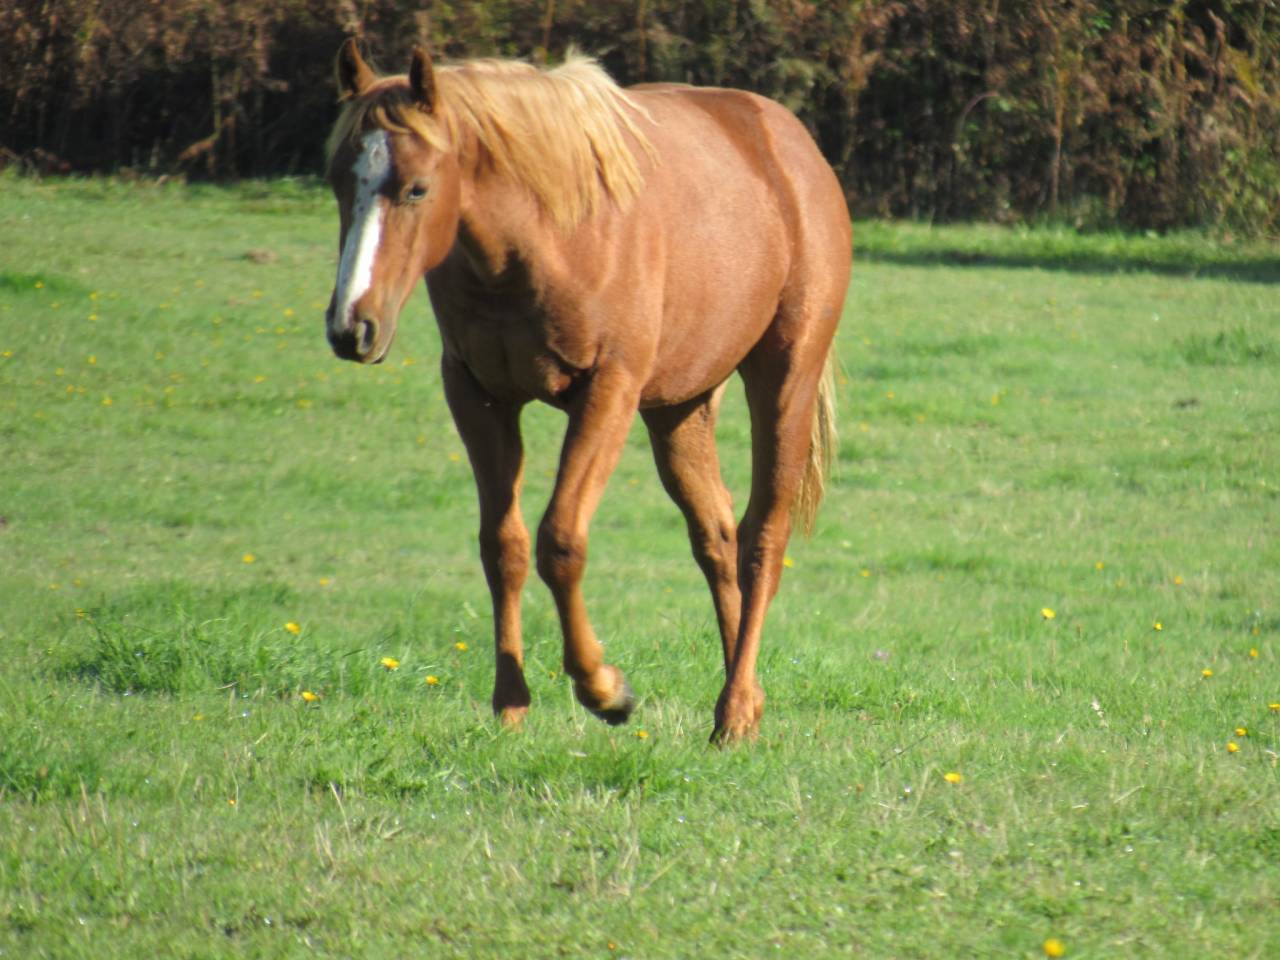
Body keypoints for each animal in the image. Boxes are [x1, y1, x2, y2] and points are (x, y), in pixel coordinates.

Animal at [323, 40, 851, 743]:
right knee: (716, 538)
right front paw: (510, 703)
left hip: (783, 378)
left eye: (417, 187)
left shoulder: (608, 391)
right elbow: (504, 546)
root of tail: (791, 145)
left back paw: (735, 711)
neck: (547, 235)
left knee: (762, 538)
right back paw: (746, 699)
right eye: (337, 183)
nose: (351, 324)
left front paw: (604, 689)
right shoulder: (477, 395)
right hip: (679, 409)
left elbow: (561, 541)